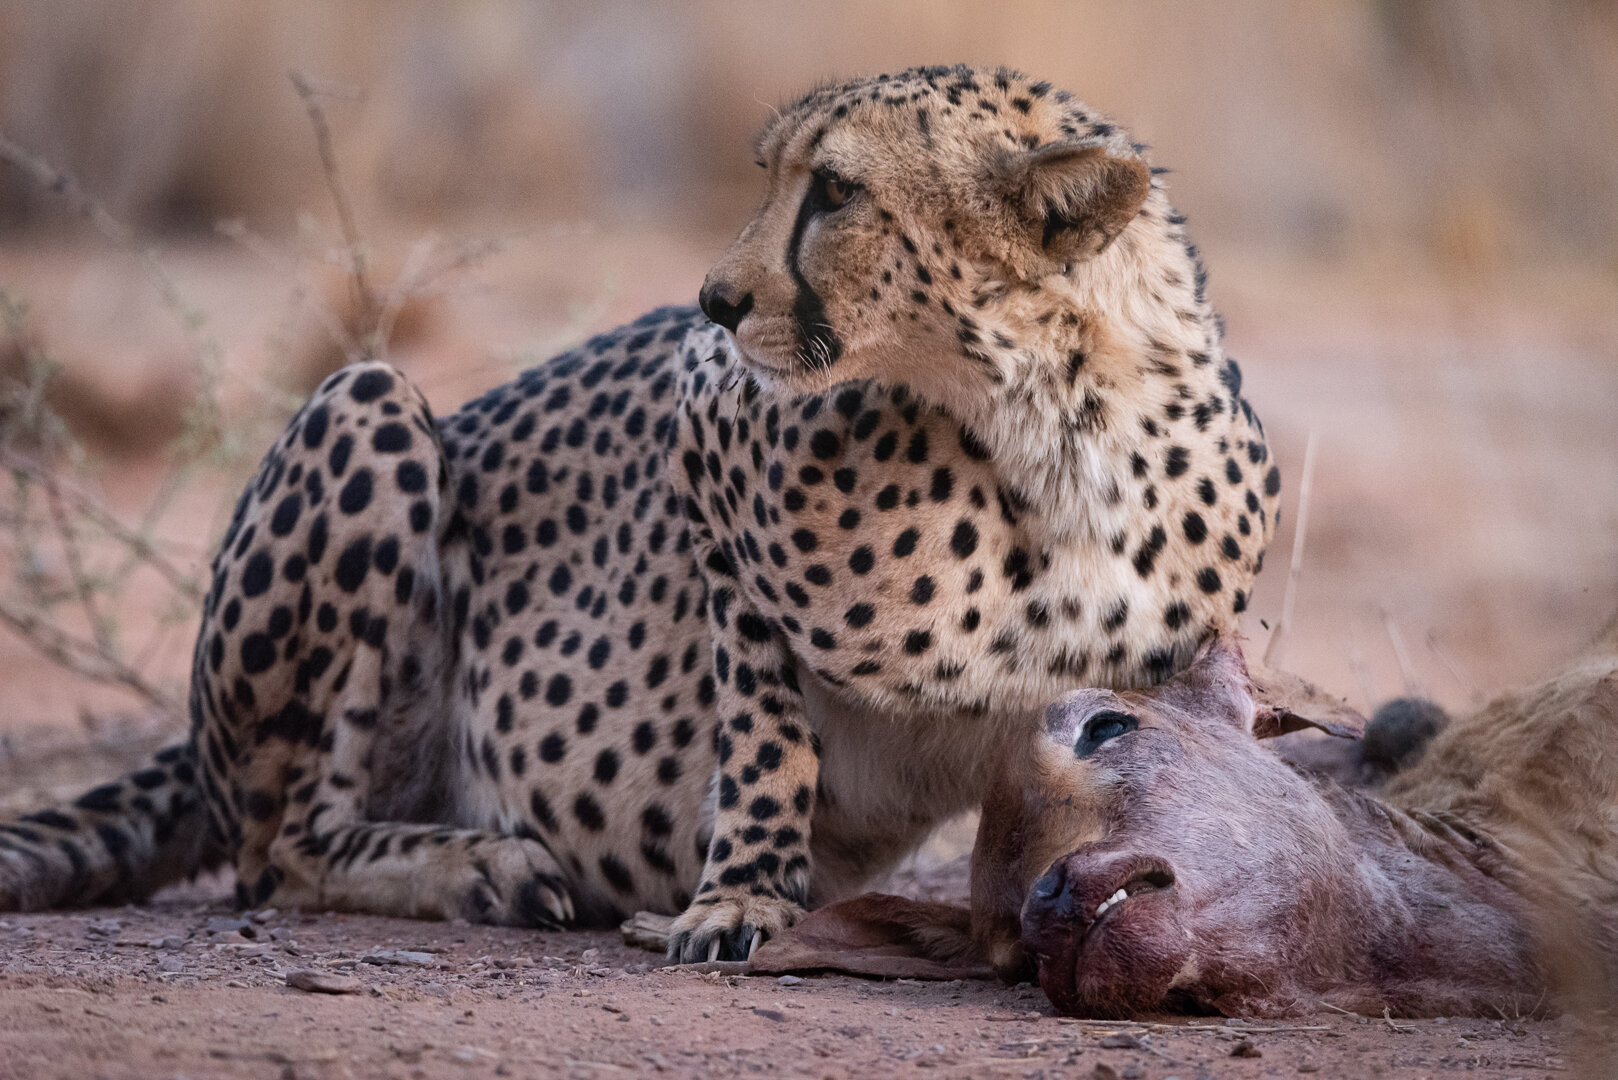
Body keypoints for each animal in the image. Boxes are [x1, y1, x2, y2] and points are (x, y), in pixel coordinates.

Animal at [0, 65, 1274, 965]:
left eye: (836, 192)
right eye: (773, 177)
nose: (712, 300)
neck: (1047, 429)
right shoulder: (705, 441)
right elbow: (764, 733)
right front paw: (741, 894)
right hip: (368, 404)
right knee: (277, 852)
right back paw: (479, 868)